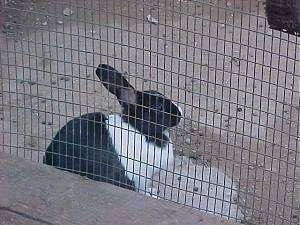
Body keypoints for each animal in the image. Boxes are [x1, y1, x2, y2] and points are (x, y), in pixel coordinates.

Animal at [43, 64, 182, 196]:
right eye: (159, 107)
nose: (179, 114)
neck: (139, 130)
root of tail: (48, 160)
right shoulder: (137, 178)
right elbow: (140, 190)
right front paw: (152, 194)